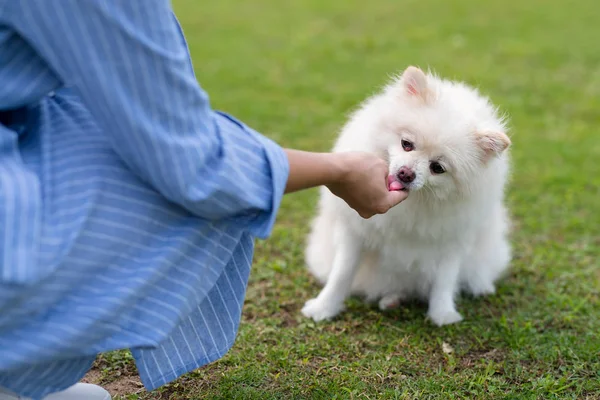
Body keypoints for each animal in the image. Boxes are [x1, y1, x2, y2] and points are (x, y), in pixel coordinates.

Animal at [300, 67, 510, 326]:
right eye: (406, 144)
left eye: (437, 167)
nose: (406, 173)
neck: (417, 201)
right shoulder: (355, 232)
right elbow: (342, 273)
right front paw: (324, 308)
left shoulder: (452, 240)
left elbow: (445, 280)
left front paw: (443, 314)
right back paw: (391, 300)